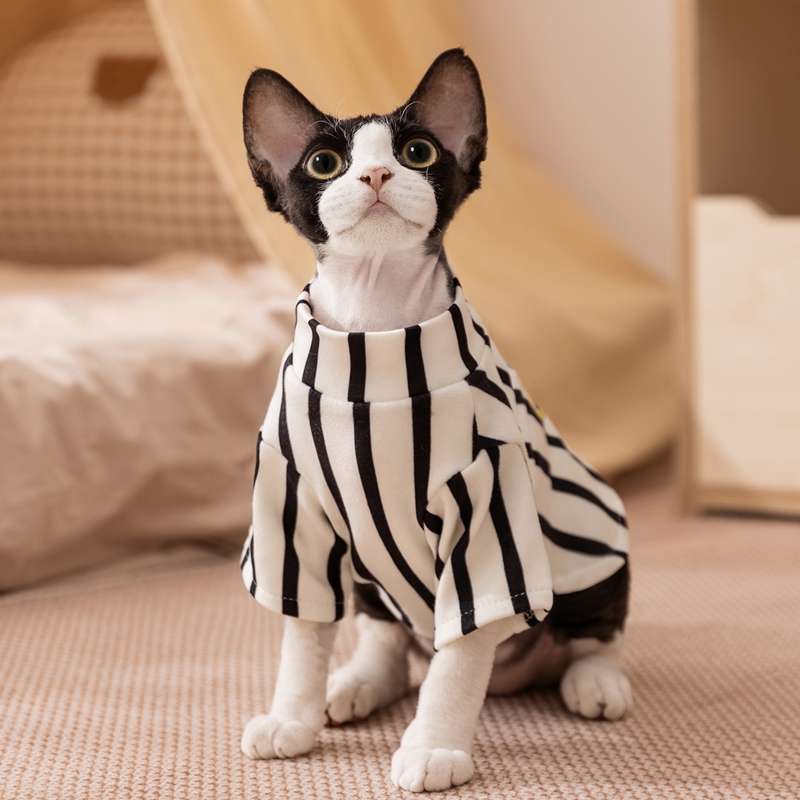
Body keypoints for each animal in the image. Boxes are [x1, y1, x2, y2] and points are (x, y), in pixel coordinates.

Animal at [239, 49, 631, 793]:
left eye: (417, 152)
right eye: (324, 164)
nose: (375, 174)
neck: (375, 333)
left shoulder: (488, 515)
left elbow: (459, 657)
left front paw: (434, 746)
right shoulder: (294, 512)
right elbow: (303, 634)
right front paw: (291, 714)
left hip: (593, 548)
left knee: (592, 632)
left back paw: (595, 680)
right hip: (369, 576)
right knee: (387, 634)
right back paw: (357, 682)